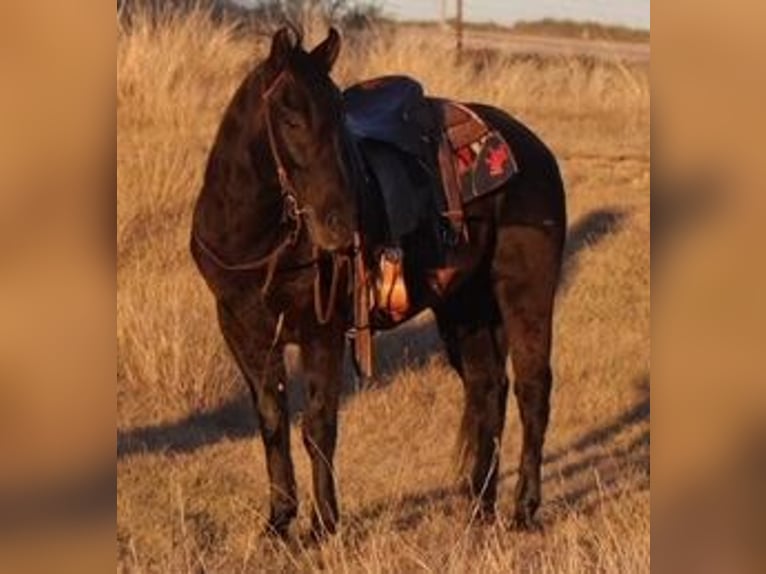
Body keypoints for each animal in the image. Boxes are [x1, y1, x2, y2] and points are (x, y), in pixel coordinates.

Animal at [190, 27, 566, 539]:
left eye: (339, 118)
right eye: (289, 117)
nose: (341, 225)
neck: (253, 238)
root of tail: (531, 146)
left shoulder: (321, 332)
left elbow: (318, 425)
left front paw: (323, 526)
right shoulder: (243, 331)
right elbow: (271, 422)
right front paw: (279, 521)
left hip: (526, 294)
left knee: (532, 388)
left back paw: (524, 509)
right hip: (465, 307)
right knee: (487, 388)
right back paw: (478, 508)